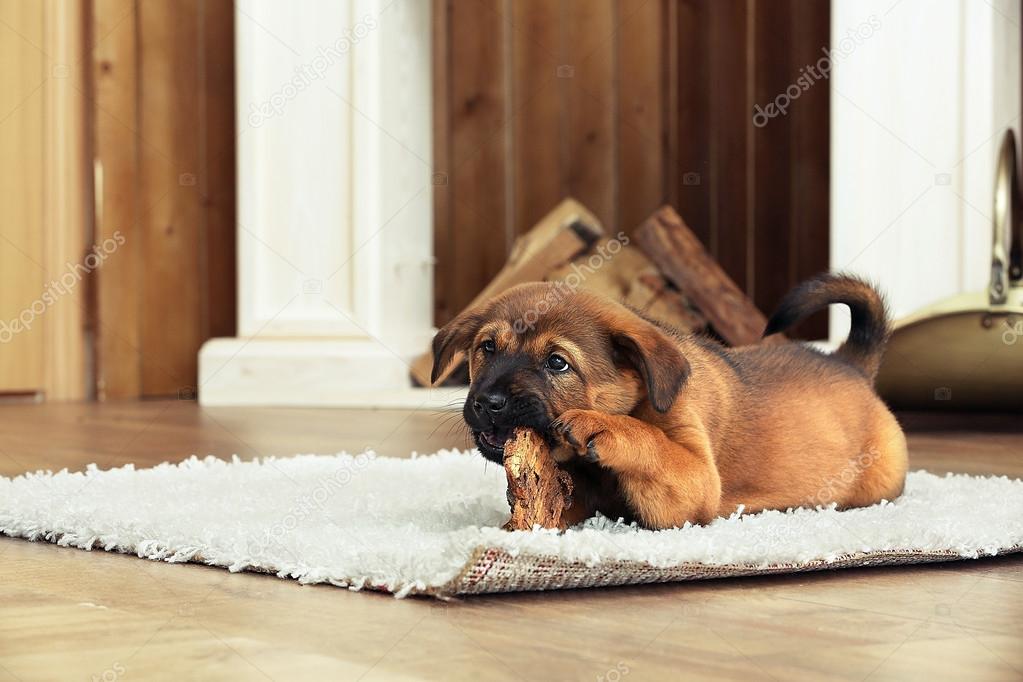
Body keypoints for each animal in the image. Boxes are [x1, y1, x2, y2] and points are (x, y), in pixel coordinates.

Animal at [427, 274, 908, 531]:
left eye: (557, 363)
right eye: (487, 348)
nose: (488, 402)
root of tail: (850, 363)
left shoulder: (697, 483)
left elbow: (655, 444)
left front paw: (604, 427)